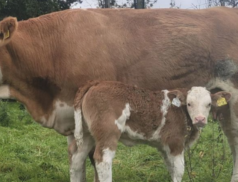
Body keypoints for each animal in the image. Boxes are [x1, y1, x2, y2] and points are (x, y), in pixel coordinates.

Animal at [70, 81, 231, 182]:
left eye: (208, 104)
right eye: (190, 104)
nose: (200, 119)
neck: (180, 110)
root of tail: (95, 83)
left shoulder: (164, 147)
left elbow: (171, 169)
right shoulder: (175, 142)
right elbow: (179, 170)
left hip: (86, 134)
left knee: (76, 159)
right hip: (108, 134)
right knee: (102, 161)